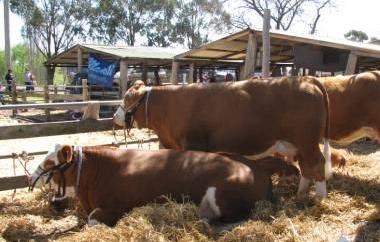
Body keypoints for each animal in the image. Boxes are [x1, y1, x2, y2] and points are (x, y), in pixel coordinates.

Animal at [29, 145, 298, 226]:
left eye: (49, 162)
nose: (30, 177)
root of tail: (255, 164)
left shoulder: (115, 208)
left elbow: (93, 219)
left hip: (222, 196)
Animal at [113, 76, 332, 199]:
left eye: (127, 98)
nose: (114, 117)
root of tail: (306, 80)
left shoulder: (193, 144)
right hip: (299, 145)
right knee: (306, 166)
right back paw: (301, 195)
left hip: (307, 141)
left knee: (316, 163)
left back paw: (320, 198)